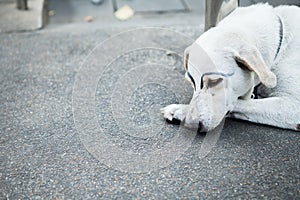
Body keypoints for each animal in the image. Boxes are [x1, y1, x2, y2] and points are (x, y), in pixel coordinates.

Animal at [162, 3, 300, 131]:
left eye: (215, 81)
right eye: (191, 81)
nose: (191, 124)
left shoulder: (293, 106)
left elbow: (244, 103)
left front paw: (182, 109)